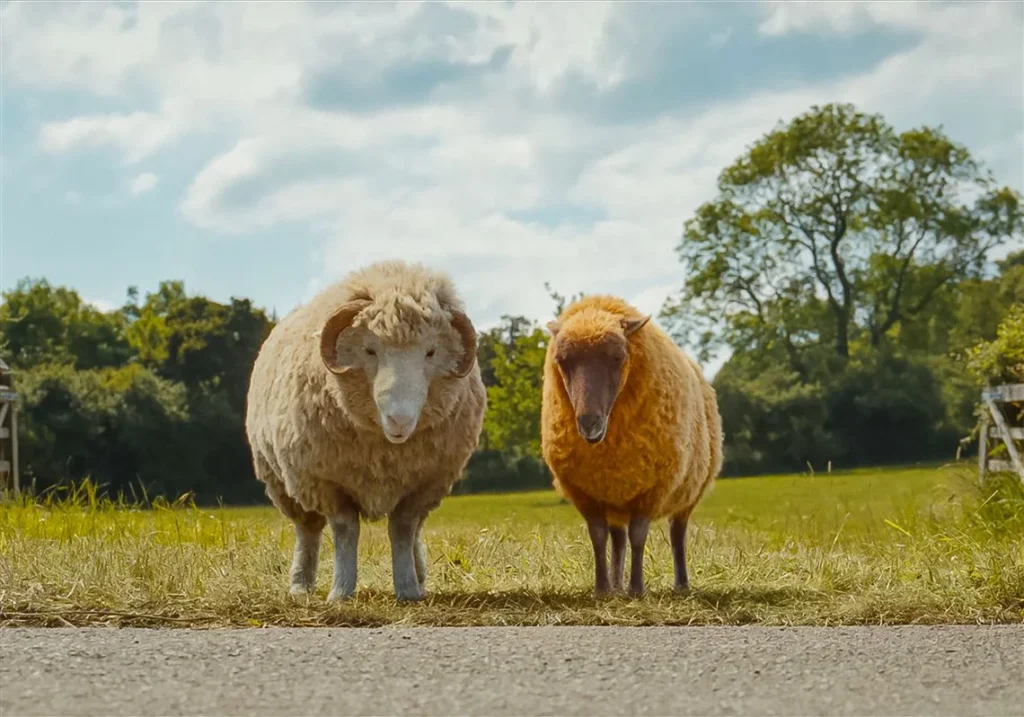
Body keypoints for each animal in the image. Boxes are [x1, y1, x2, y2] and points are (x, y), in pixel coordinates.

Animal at [245, 260, 486, 602]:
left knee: (414, 532)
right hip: (285, 483)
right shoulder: (328, 482)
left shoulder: (423, 485)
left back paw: (419, 575)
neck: (385, 451)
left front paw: (408, 588)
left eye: (431, 352)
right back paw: (301, 585)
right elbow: (346, 531)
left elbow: (402, 530)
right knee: (307, 531)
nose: (399, 420)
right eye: (370, 350)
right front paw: (341, 591)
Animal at [540, 294, 723, 597]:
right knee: (617, 539)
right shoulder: (584, 492)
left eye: (617, 357)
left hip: (687, 492)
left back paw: (681, 585)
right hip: (616, 496)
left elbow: (638, 535)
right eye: (562, 361)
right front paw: (602, 589)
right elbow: (598, 536)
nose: (589, 422)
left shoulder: (653, 488)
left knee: (677, 534)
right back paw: (616, 585)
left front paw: (637, 588)